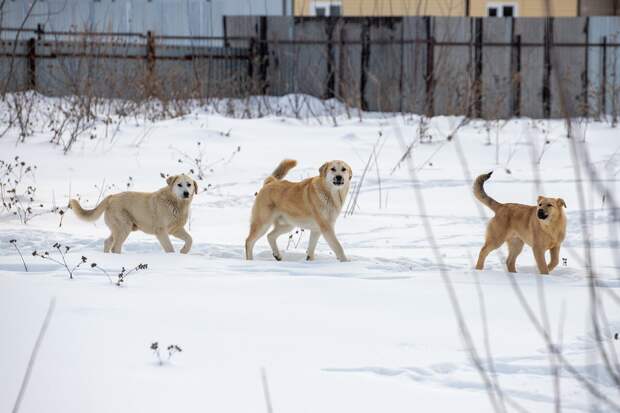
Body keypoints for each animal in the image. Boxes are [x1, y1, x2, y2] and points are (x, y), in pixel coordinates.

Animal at [69, 173, 197, 253]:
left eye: (189, 184)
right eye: (179, 184)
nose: (186, 193)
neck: (175, 203)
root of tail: (111, 197)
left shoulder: (175, 229)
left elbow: (190, 239)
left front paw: (183, 251)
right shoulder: (161, 231)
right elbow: (169, 248)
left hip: (120, 228)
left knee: (107, 242)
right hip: (124, 227)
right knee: (115, 247)